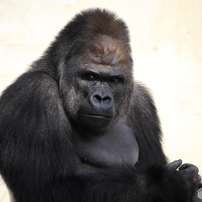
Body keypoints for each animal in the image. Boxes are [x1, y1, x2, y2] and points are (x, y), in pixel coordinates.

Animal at [0, 8, 200, 202]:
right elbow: (47, 188)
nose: (102, 98)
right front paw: (164, 184)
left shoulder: (142, 103)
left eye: (114, 80)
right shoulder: (33, 94)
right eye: (90, 77)